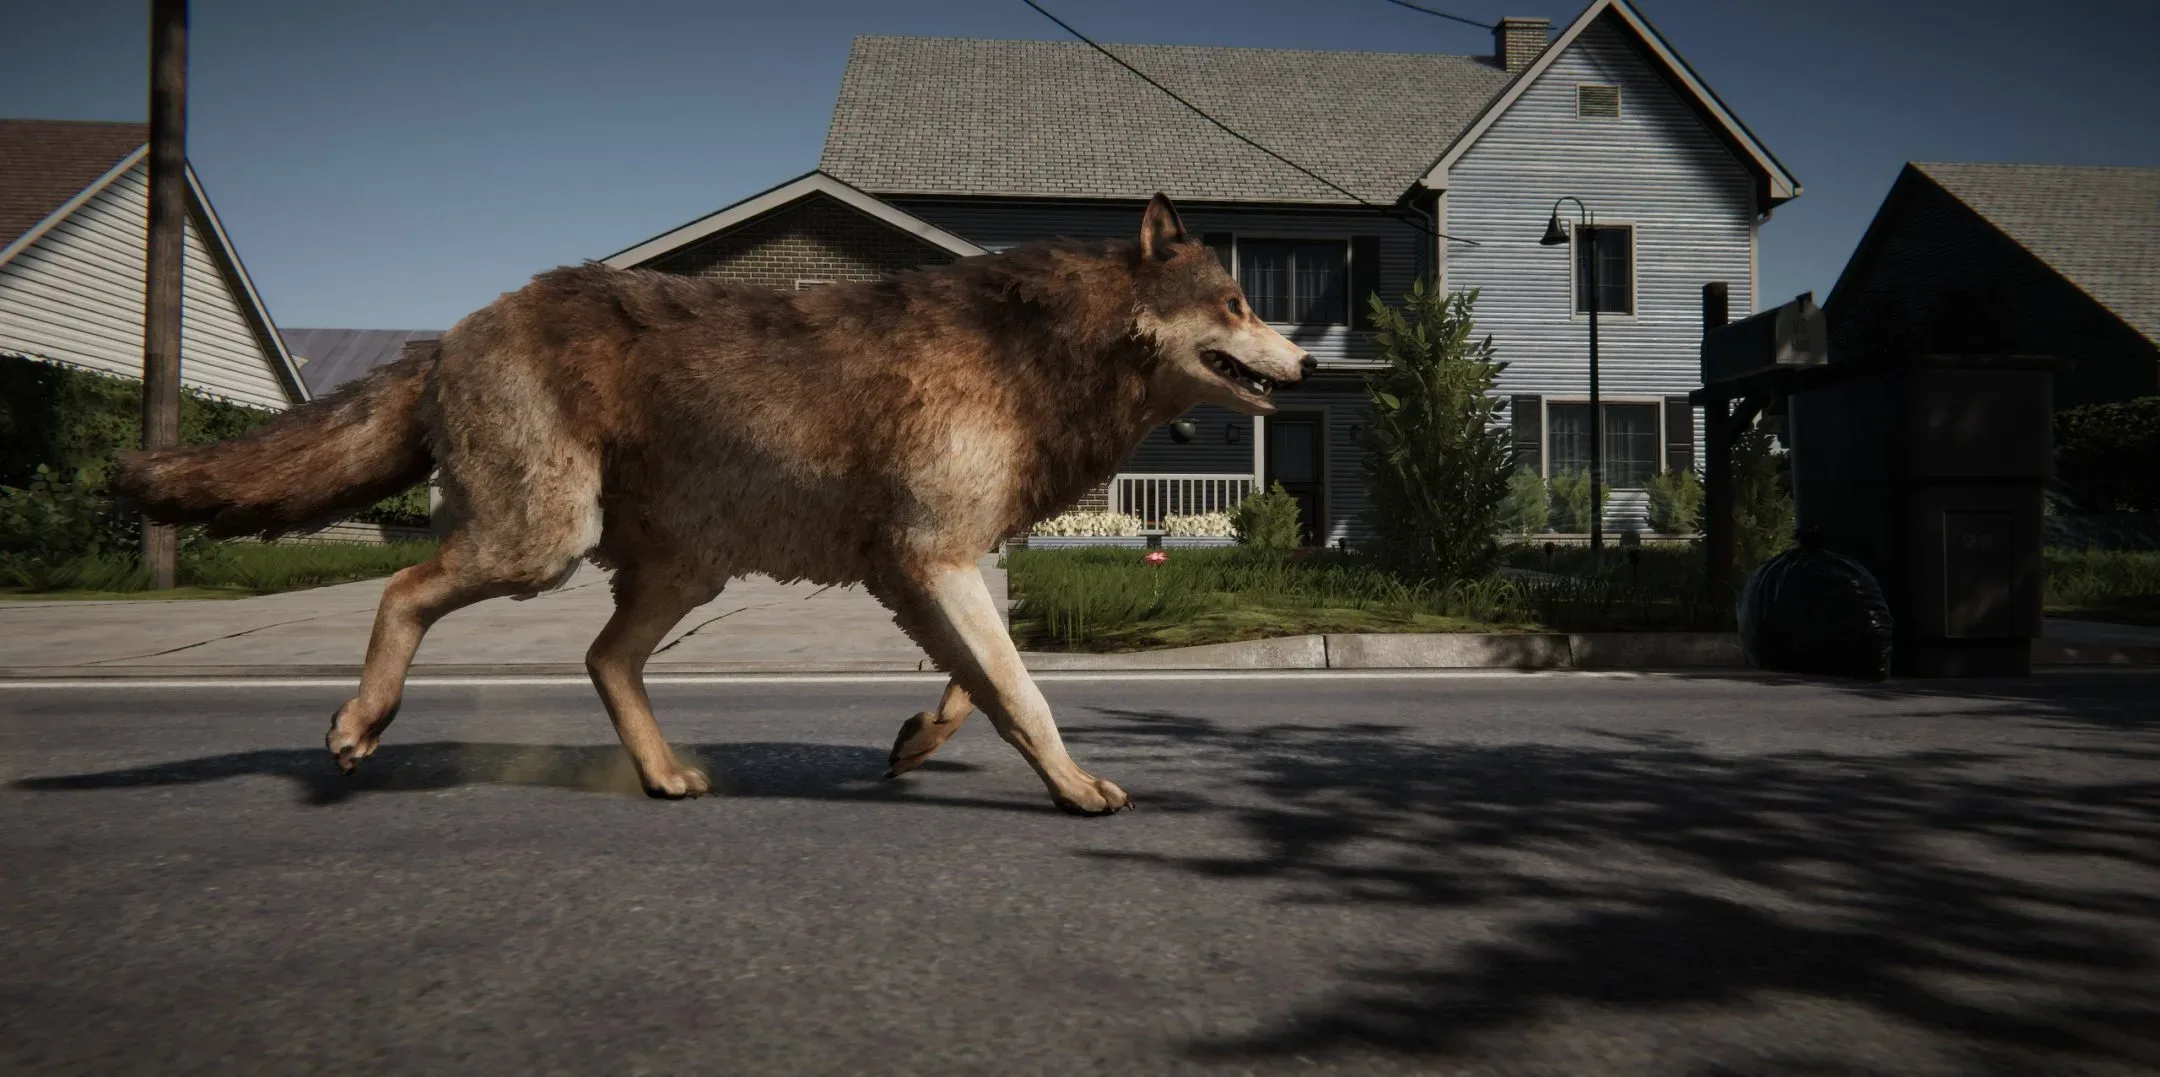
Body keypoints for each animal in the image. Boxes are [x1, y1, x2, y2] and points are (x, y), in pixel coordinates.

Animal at [113, 194, 1313, 814]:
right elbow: (1026, 693)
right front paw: (1073, 788)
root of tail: (453, 328)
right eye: (1238, 304)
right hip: (544, 545)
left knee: (603, 658)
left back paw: (661, 774)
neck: (1037, 355)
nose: (1305, 364)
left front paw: (915, 744)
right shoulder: (933, 561)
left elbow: (982, 687)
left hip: (683, 571)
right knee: (406, 587)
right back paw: (360, 726)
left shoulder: (926, 569)